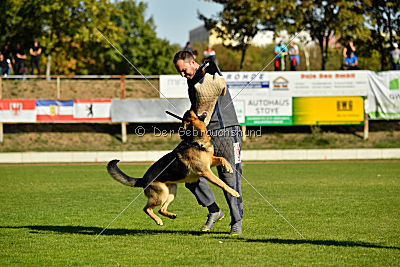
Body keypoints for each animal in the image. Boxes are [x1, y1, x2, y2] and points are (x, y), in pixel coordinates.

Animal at [106, 110, 239, 226]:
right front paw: (234, 192)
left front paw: (228, 168)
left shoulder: (210, 162)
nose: (188, 110)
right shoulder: (206, 172)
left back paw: (170, 215)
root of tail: (143, 179)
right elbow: (222, 183)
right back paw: (158, 220)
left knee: (160, 209)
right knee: (147, 209)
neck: (195, 141)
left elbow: (222, 158)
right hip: (161, 194)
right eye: (187, 118)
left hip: (172, 191)